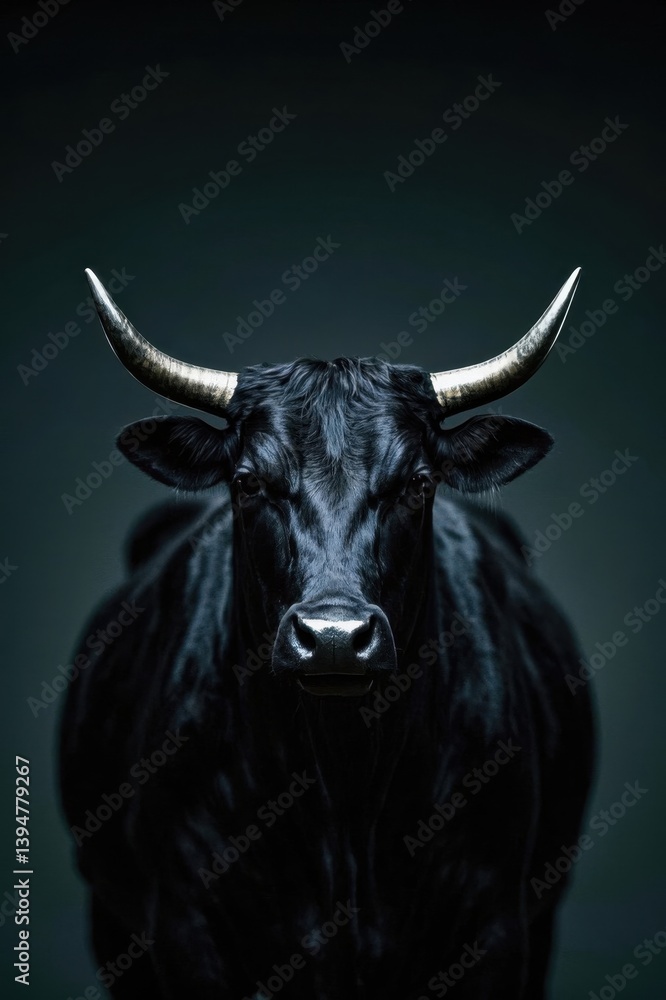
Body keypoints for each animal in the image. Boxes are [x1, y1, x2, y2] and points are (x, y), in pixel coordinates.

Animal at [59, 266, 594, 1000]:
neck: (344, 788)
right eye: (249, 482)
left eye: (416, 483)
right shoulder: (181, 928)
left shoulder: (499, 929)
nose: (334, 635)